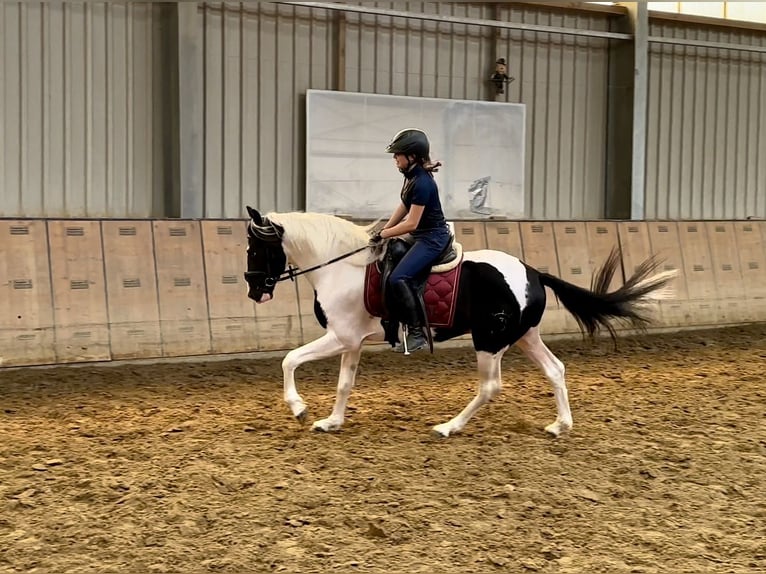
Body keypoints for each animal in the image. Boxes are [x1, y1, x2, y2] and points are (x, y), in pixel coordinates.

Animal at [242, 209, 680, 438]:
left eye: (256, 248)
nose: (253, 291)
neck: (341, 266)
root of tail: (534, 272)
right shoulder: (352, 341)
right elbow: (343, 384)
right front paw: (330, 421)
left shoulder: (340, 336)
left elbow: (289, 360)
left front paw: (299, 409)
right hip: (524, 336)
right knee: (556, 370)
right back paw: (560, 425)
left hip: (489, 340)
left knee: (490, 387)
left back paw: (448, 427)